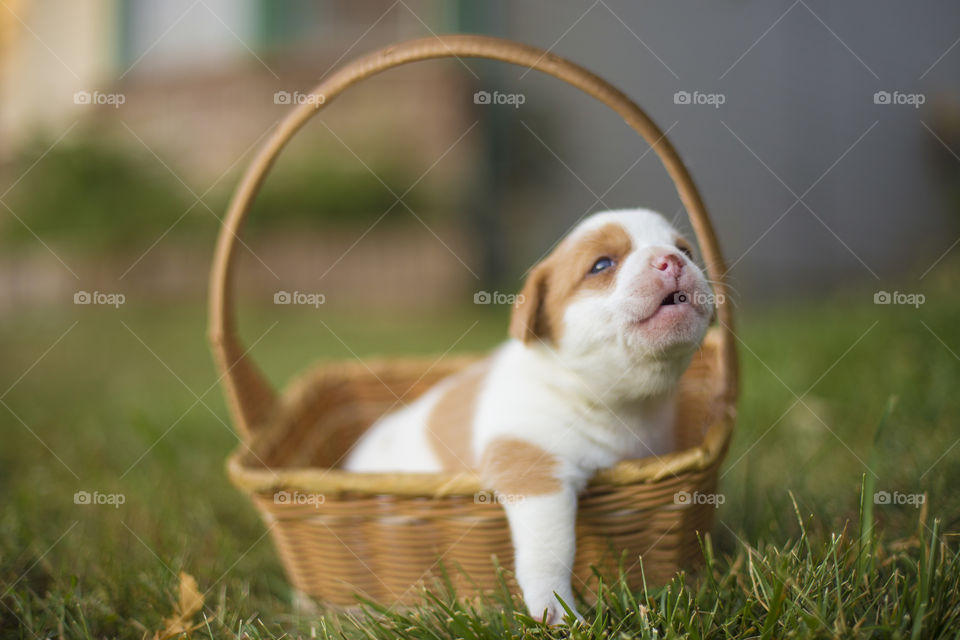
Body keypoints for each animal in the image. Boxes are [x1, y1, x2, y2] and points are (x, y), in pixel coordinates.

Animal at [344, 208, 712, 624]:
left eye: (687, 250)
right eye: (602, 264)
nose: (673, 260)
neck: (618, 402)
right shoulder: (532, 466)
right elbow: (551, 547)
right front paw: (555, 610)